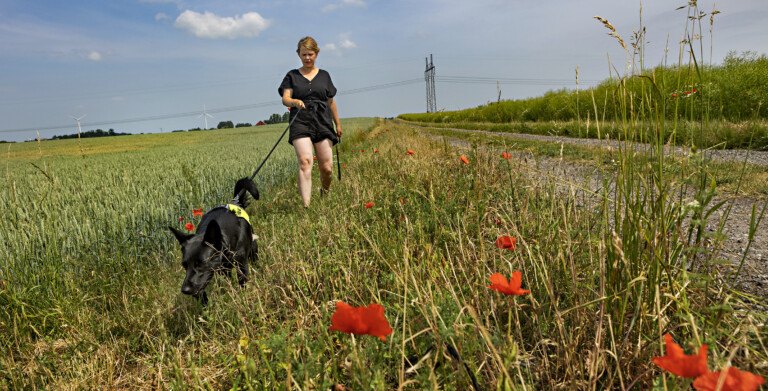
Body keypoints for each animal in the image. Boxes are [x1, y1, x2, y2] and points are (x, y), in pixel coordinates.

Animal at [167, 176, 258, 304]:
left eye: (201, 263)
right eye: (184, 265)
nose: (185, 290)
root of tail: (236, 202)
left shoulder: (242, 263)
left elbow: (242, 282)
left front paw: (244, 298)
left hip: (252, 248)